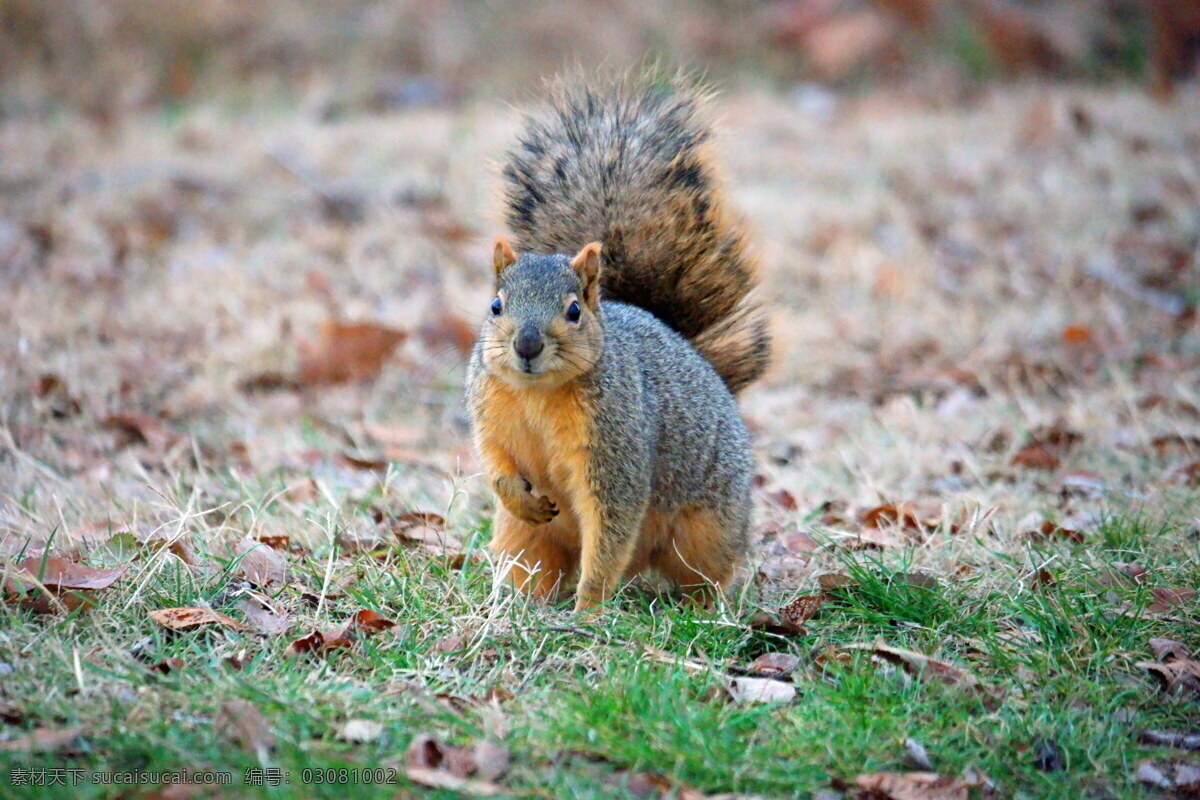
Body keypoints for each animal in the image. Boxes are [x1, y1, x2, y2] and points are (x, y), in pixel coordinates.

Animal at [463, 73, 772, 614]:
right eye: (496, 306)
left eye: (573, 311)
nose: (526, 345)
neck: (537, 394)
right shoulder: (491, 417)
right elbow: (496, 464)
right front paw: (519, 495)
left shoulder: (617, 449)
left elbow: (610, 527)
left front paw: (588, 609)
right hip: (524, 539)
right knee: (533, 561)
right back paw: (521, 604)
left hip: (707, 529)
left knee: (704, 572)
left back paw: (705, 611)